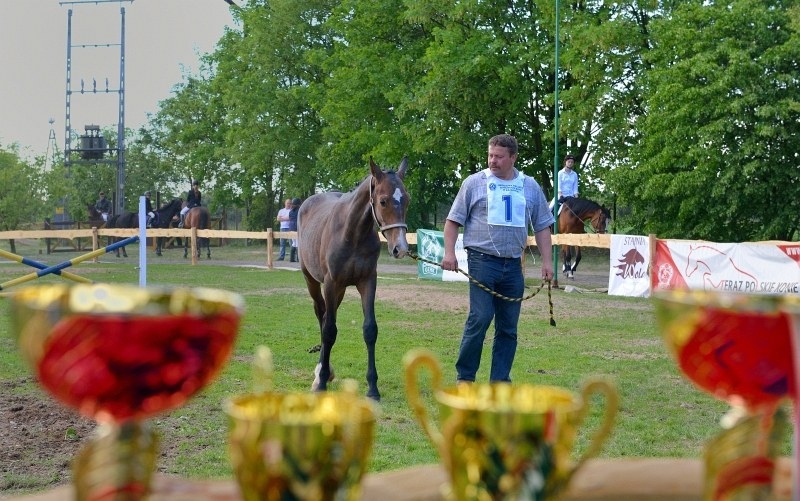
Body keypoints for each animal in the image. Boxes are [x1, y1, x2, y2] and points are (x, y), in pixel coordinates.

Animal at [298, 156, 409, 401]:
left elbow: (370, 330)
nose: (401, 248)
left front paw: (373, 388)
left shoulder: (367, 281)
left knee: (326, 316)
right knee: (321, 316)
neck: (353, 233)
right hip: (313, 281)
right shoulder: (331, 283)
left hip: (339, 290)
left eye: (406, 199)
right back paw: (320, 374)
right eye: (383, 201)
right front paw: (321, 384)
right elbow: (329, 331)